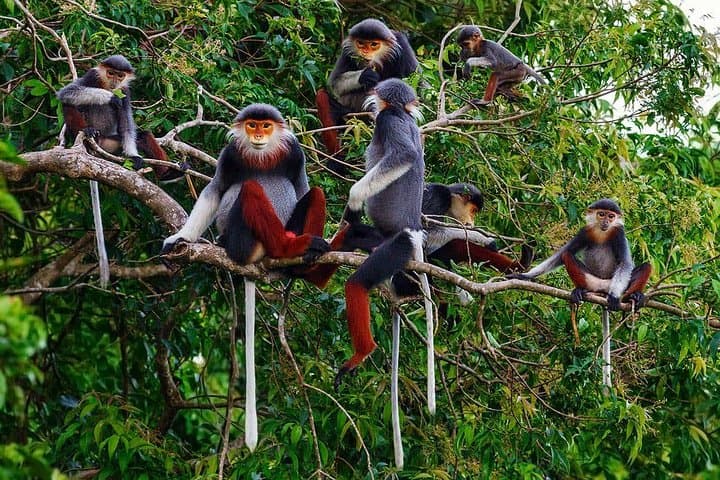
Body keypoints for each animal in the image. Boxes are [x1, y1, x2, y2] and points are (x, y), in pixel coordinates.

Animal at [57, 55, 188, 182]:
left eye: (120, 75)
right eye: (111, 73)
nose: (114, 81)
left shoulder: (125, 91)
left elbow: (126, 125)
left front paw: (134, 156)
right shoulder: (92, 75)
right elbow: (66, 92)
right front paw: (112, 97)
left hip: (110, 145)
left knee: (144, 136)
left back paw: (169, 175)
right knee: (67, 104)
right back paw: (87, 131)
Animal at [315, 18, 419, 173]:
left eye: (374, 44)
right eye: (361, 43)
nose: (365, 51)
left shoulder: (403, 46)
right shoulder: (346, 51)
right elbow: (335, 82)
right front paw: (366, 75)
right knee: (321, 96)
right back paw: (336, 161)